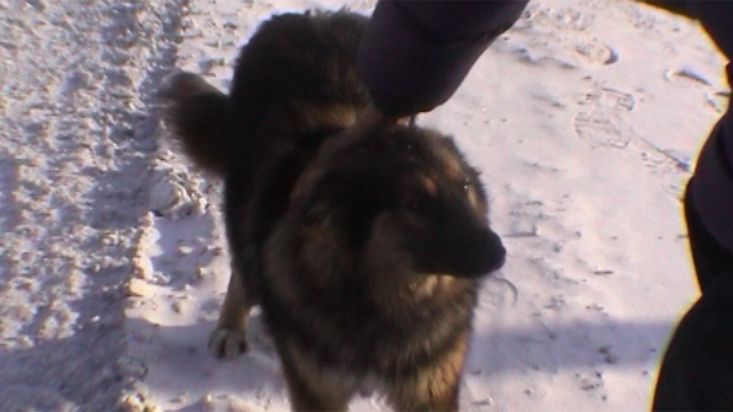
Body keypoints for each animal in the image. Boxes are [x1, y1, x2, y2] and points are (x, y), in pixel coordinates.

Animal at [163, 9, 506, 412]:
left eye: (464, 187)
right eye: (415, 204)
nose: (498, 253)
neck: (384, 300)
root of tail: (306, 17)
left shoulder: (430, 383)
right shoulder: (317, 387)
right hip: (244, 194)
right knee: (243, 261)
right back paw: (231, 326)